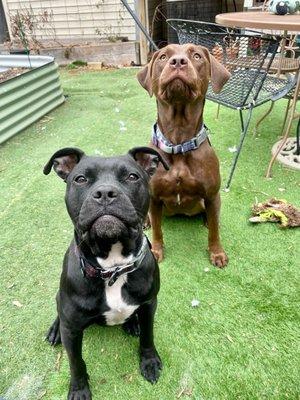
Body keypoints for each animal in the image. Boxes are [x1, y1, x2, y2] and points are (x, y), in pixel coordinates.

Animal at [43, 147, 169, 400]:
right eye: (81, 179)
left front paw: (149, 361)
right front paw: (79, 388)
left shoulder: (149, 304)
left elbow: (148, 336)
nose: (105, 193)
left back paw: (132, 324)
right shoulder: (72, 329)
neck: (113, 269)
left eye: (132, 176)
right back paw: (54, 330)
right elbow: (76, 362)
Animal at [137, 43, 231, 268]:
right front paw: (156, 250)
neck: (179, 144)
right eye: (163, 57)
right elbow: (158, 230)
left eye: (196, 56)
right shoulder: (154, 197)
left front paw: (216, 252)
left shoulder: (211, 195)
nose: (178, 62)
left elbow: (214, 232)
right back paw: (145, 221)